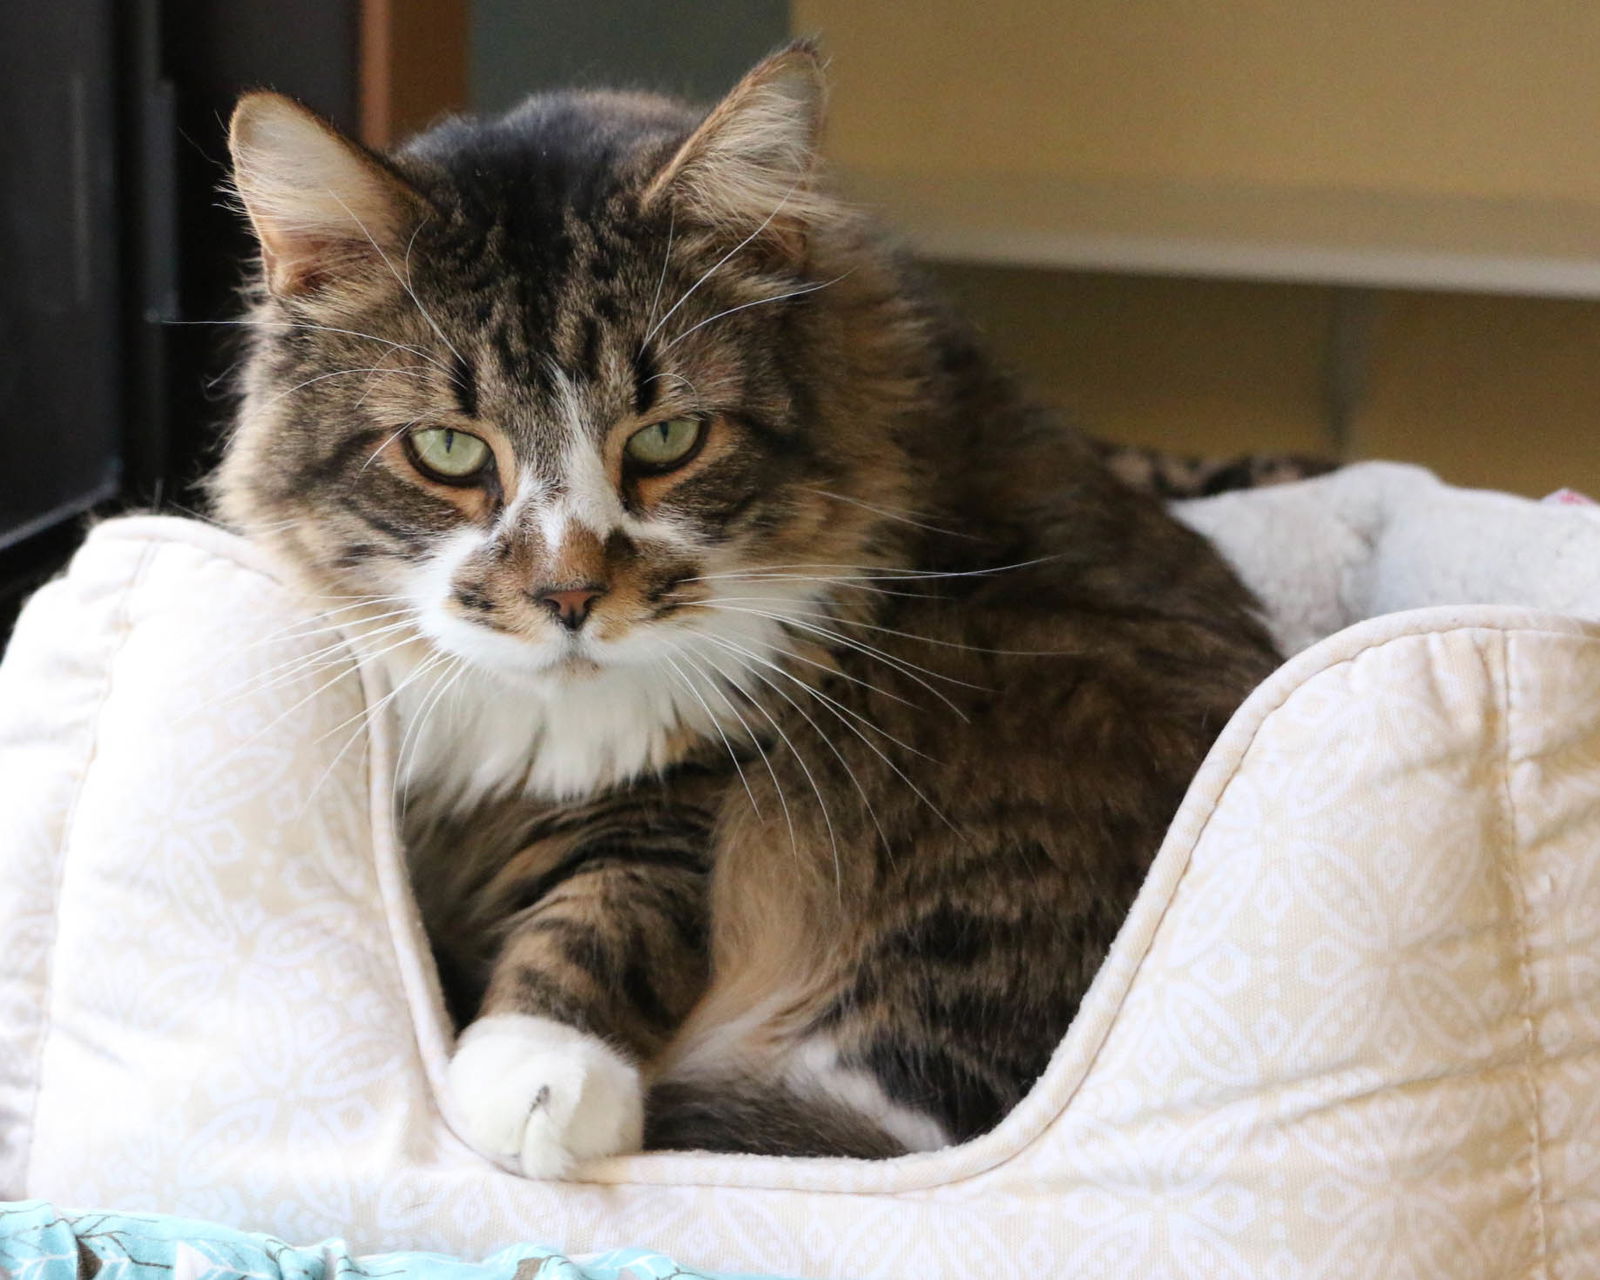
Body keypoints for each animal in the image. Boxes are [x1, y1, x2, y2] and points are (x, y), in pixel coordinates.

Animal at [212, 42, 1286, 1177]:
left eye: (667, 438)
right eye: (449, 450)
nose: (569, 594)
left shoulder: (689, 786)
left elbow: (604, 915)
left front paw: (537, 1080)